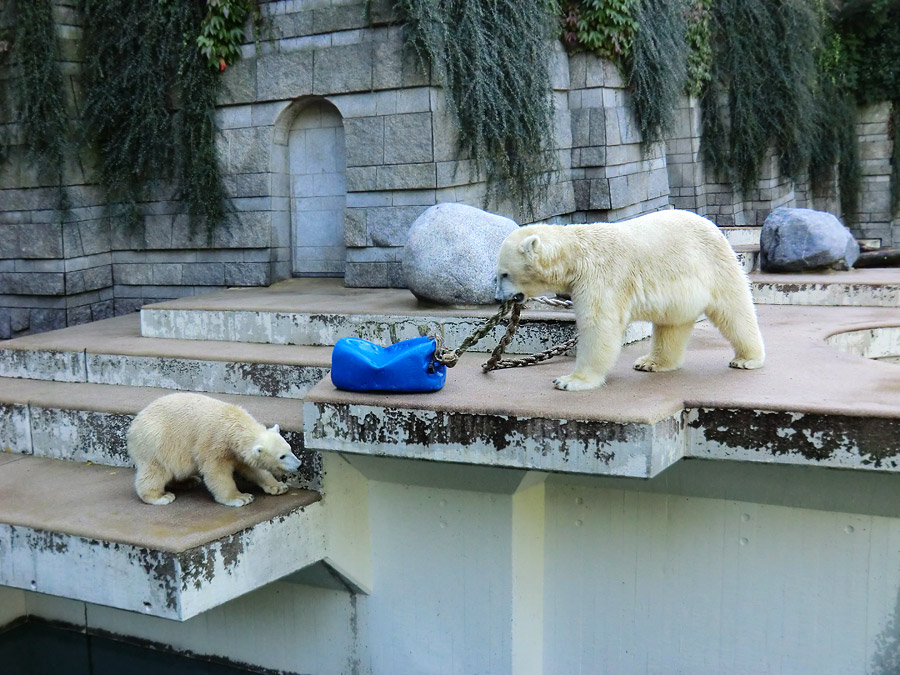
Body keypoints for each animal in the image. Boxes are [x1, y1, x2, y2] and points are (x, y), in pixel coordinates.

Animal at [496, 210, 764, 390]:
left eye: (504, 273)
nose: (499, 297)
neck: (576, 254)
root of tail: (714, 227)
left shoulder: (600, 277)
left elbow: (599, 325)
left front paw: (570, 381)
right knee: (671, 325)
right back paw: (651, 362)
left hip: (714, 263)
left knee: (734, 310)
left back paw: (747, 359)